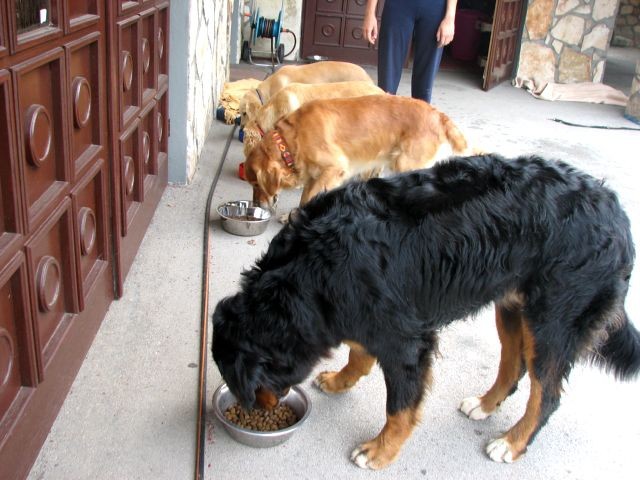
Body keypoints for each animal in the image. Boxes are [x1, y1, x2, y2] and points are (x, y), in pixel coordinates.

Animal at [212, 154, 636, 468]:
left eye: (246, 386)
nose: (257, 408)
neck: (313, 266)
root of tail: (615, 209)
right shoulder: (365, 312)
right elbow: (360, 352)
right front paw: (341, 380)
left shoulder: (406, 340)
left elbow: (399, 406)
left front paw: (380, 451)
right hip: (512, 307)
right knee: (513, 365)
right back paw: (485, 404)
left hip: (553, 321)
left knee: (545, 393)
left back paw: (512, 442)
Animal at [244, 95, 470, 210]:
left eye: (256, 184)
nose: (256, 205)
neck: (290, 140)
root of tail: (438, 114)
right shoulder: (315, 174)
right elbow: (307, 195)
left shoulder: (334, 168)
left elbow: (310, 197)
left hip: (406, 163)